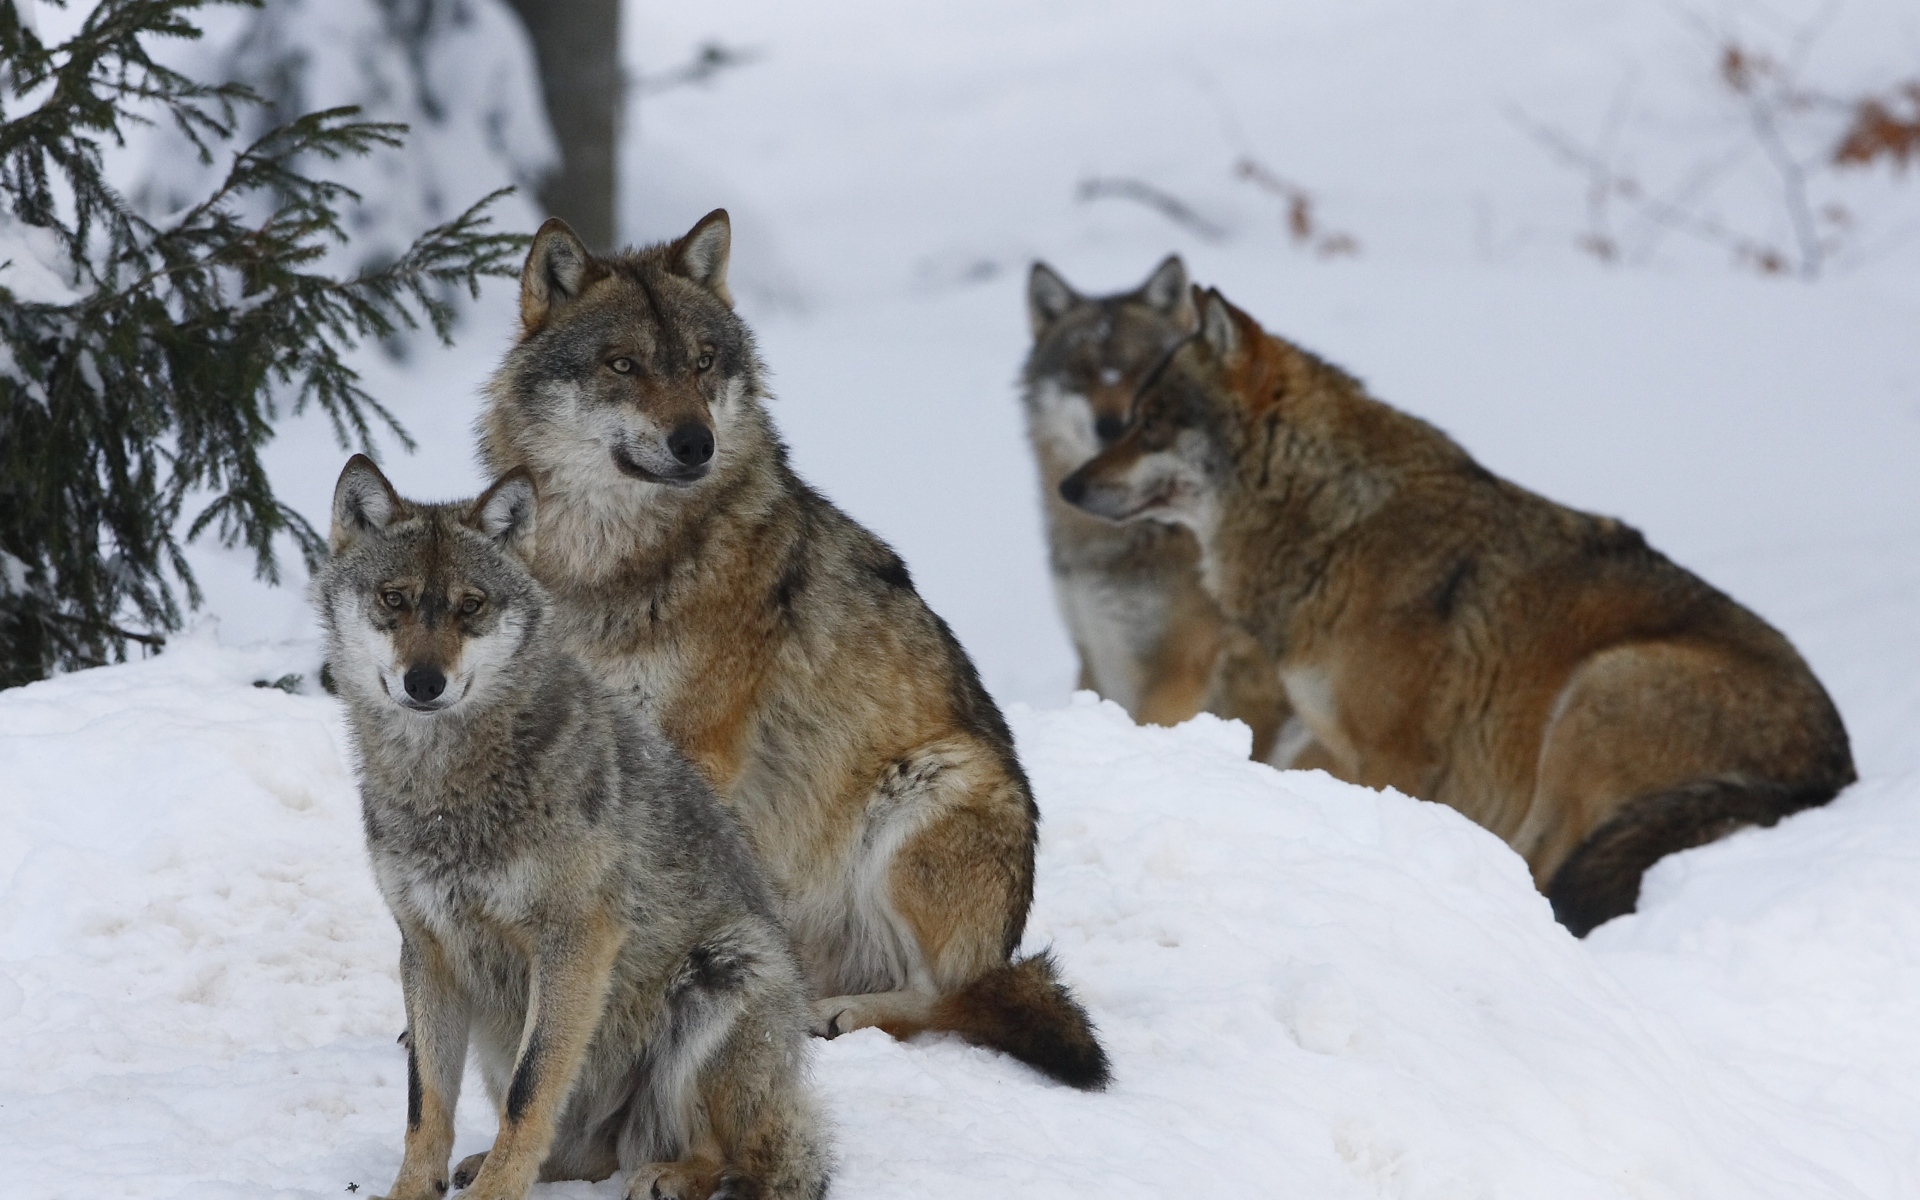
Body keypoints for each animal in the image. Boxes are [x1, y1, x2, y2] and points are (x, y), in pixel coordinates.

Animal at [316, 455, 831, 1200]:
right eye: (394, 599)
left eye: (471, 605)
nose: (424, 682)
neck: (446, 790)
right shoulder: (426, 949)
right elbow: (426, 1103)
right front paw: (417, 1190)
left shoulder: (575, 940)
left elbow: (531, 1092)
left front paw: (496, 1195)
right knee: (583, 1153)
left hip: (724, 973)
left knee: (722, 1155)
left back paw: (669, 1175)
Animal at [475, 212, 1109, 1089]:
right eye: (623, 365)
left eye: (703, 362)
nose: (695, 442)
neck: (607, 565)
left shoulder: (696, 750)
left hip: (932, 787)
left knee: (952, 1000)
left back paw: (836, 1014)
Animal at [1060, 287, 1856, 935]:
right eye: (1131, 420)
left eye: (1151, 424)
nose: (1069, 486)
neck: (1338, 523)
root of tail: (1831, 773)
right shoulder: (1338, 742)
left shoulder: (1398, 755)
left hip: (1597, 694)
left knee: (1547, 872)